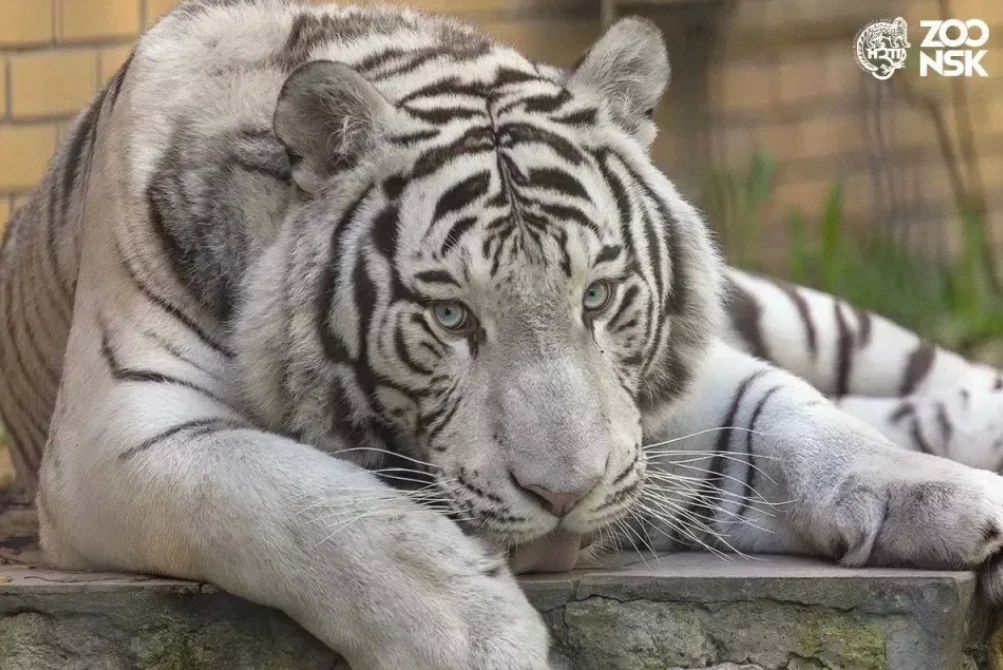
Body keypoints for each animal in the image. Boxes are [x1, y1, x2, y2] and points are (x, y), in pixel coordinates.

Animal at [1, 1, 1002, 668]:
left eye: (596, 297)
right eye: (451, 317)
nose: (565, 495)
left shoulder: (666, 402)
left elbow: (795, 422)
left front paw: (954, 498)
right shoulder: (121, 436)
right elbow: (305, 505)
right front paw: (480, 634)